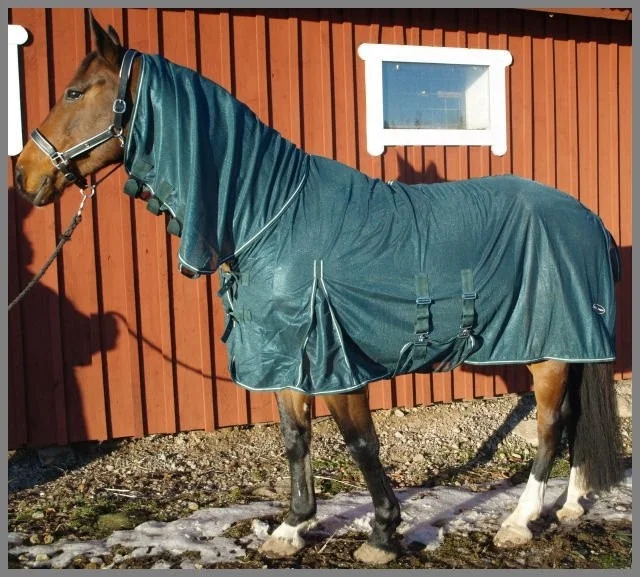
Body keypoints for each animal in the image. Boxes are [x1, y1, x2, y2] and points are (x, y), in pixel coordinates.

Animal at [14, 13, 623, 565]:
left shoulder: (335, 361)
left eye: (73, 92)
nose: (23, 173)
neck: (272, 216)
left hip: (550, 350)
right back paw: (570, 506)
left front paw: (383, 534)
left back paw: (519, 523)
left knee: (549, 428)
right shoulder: (288, 357)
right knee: (572, 422)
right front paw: (292, 528)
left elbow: (360, 443)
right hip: (565, 348)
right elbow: (295, 440)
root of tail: (587, 218)